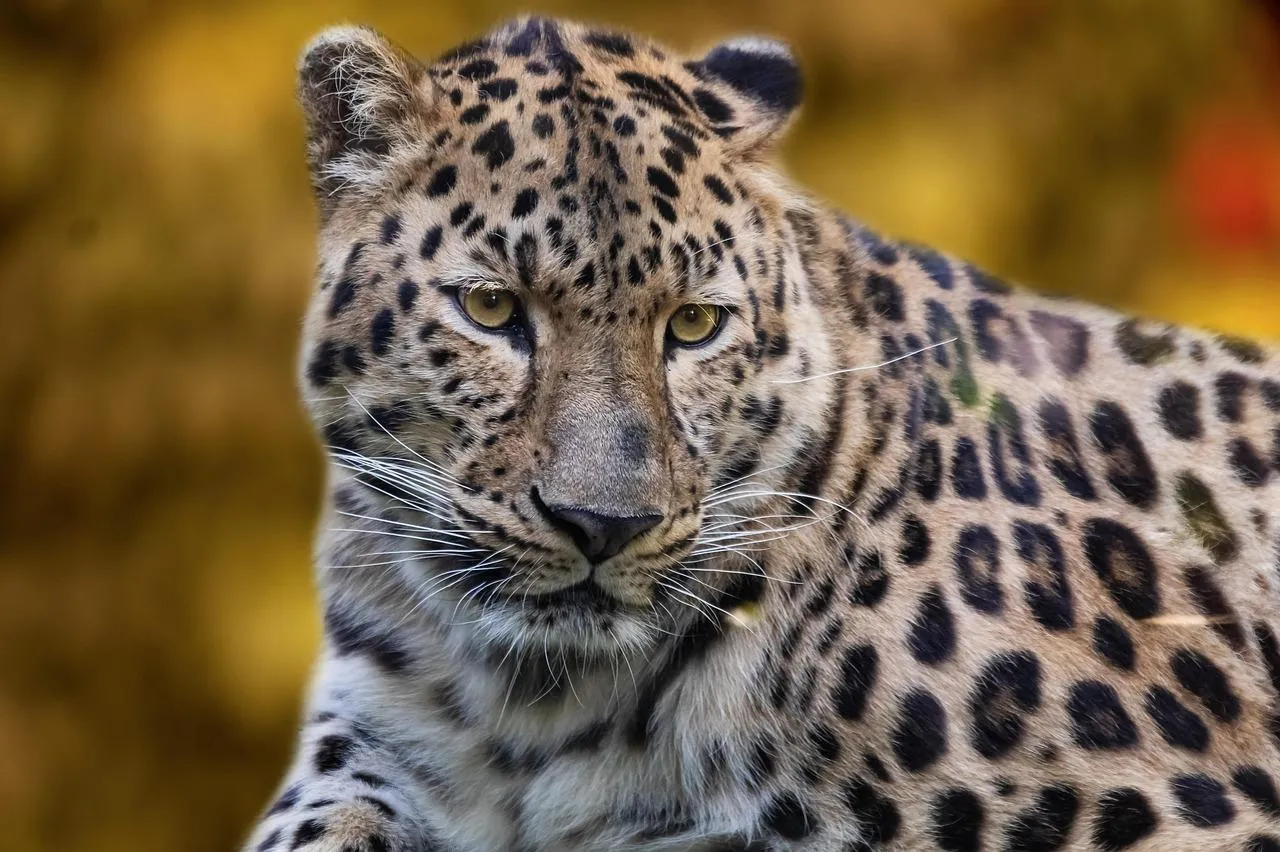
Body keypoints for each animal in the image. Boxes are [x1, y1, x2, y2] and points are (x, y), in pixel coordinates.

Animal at [241, 15, 1280, 852]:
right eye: (492, 308)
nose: (602, 526)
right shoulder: (368, 741)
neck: (528, 711)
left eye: (696, 325)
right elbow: (318, 822)